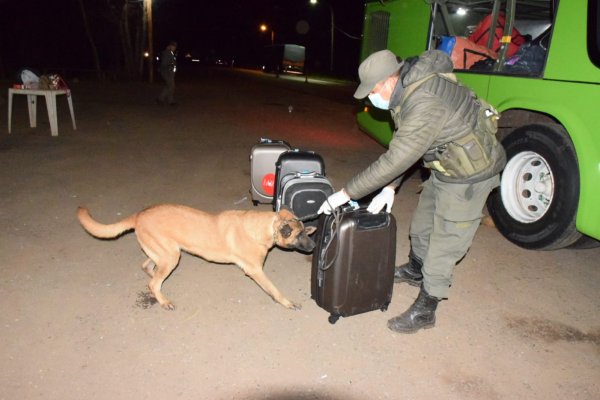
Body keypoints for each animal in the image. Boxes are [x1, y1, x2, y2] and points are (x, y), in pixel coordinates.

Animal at [77, 205, 316, 310]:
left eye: (306, 231)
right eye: (299, 235)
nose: (314, 246)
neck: (263, 228)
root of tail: (139, 214)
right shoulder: (256, 271)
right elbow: (275, 290)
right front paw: (287, 302)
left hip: (165, 253)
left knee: (147, 267)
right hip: (171, 256)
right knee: (153, 282)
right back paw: (163, 300)